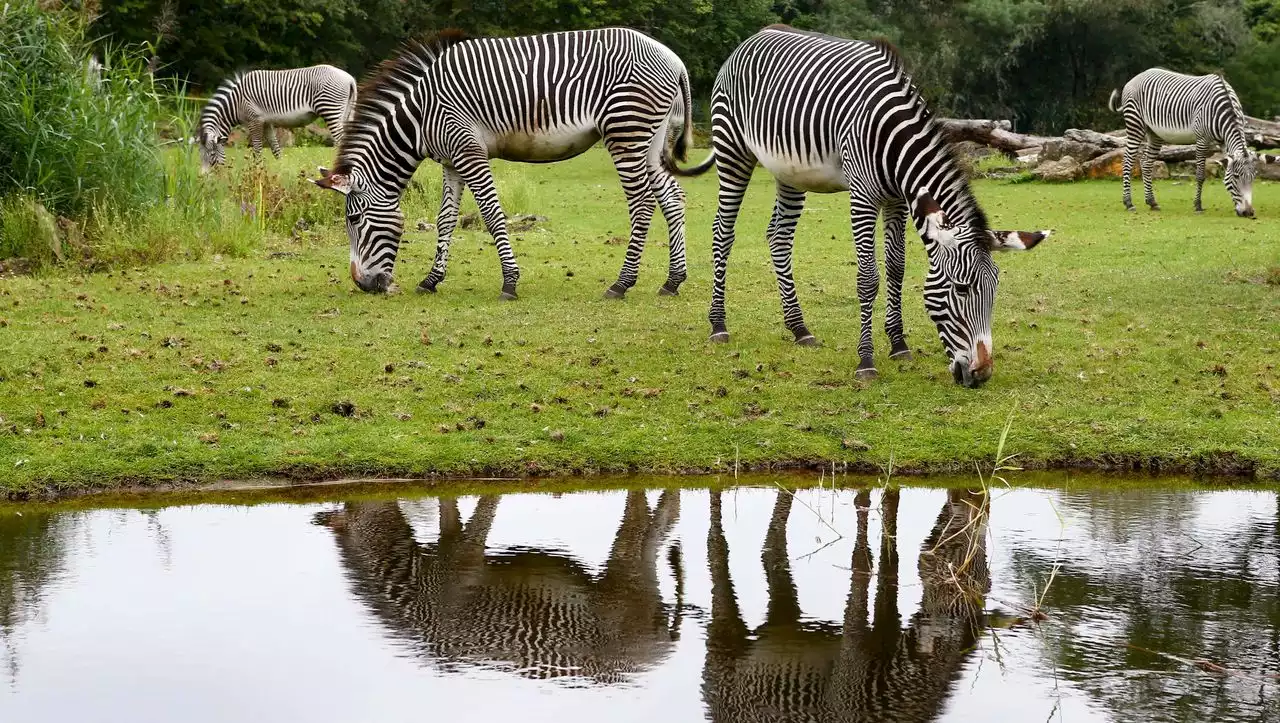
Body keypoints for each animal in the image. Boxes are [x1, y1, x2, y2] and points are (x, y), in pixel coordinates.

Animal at [199, 63, 360, 172]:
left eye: (211, 154)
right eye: (200, 154)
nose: (204, 179)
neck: (236, 103)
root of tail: (349, 78)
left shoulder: (254, 119)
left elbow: (257, 148)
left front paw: (257, 173)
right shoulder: (266, 122)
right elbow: (275, 148)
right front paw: (282, 169)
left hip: (330, 110)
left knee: (341, 141)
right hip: (345, 112)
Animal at [313, 28, 696, 299]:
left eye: (353, 219)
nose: (363, 285)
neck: (420, 117)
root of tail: (675, 59)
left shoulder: (469, 151)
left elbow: (492, 215)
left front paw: (510, 283)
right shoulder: (451, 161)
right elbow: (445, 219)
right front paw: (431, 280)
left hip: (626, 130)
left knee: (642, 203)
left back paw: (621, 284)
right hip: (652, 137)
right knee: (672, 196)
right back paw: (672, 281)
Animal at [670, 26, 1049, 389]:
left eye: (995, 290)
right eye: (962, 288)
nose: (982, 374)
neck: (893, 138)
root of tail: (753, 38)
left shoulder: (898, 200)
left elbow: (896, 268)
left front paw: (898, 345)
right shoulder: (863, 197)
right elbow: (868, 279)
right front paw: (866, 361)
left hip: (788, 170)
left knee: (778, 238)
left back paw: (799, 328)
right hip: (732, 149)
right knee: (723, 232)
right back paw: (718, 324)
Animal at [1111, 69, 1280, 218]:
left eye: (1254, 177)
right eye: (1237, 176)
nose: (1248, 213)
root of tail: (1137, 77)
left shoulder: (1223, 141)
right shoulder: (1202, 140)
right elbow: (1200, 175)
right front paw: (1198, 206)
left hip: (1155, 133)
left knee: (1146, 164)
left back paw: (1152, 202)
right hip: (1135, 124)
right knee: (1127, 161)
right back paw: (1128, 203)